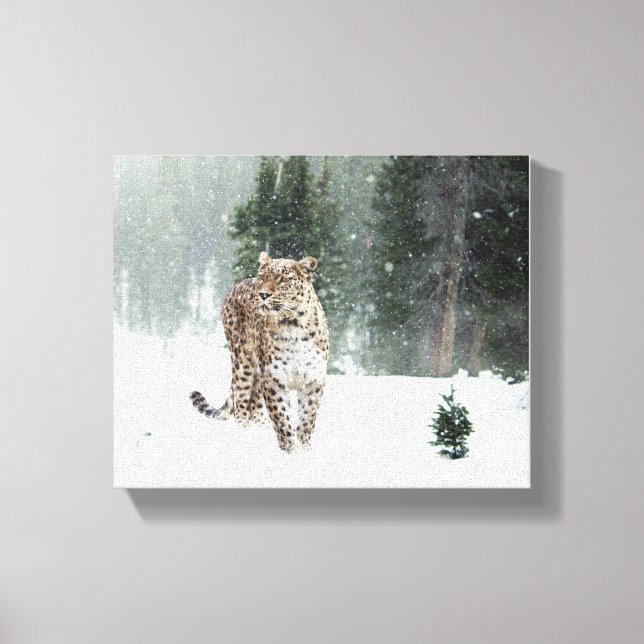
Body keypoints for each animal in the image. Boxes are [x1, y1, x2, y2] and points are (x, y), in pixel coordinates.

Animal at [190, 252, 329, 453]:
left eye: (283, 279)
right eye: (263, 277)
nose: (263, 294)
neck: (292, 325)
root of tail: (236, 286)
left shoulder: (313, 380)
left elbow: (307, 418)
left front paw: (305, 448)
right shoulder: (274, 379)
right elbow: (281, 417)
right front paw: (291, 449)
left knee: (254, 405)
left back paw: (262, 427)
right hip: (242, 362)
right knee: (241, 401)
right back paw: (245, 432)